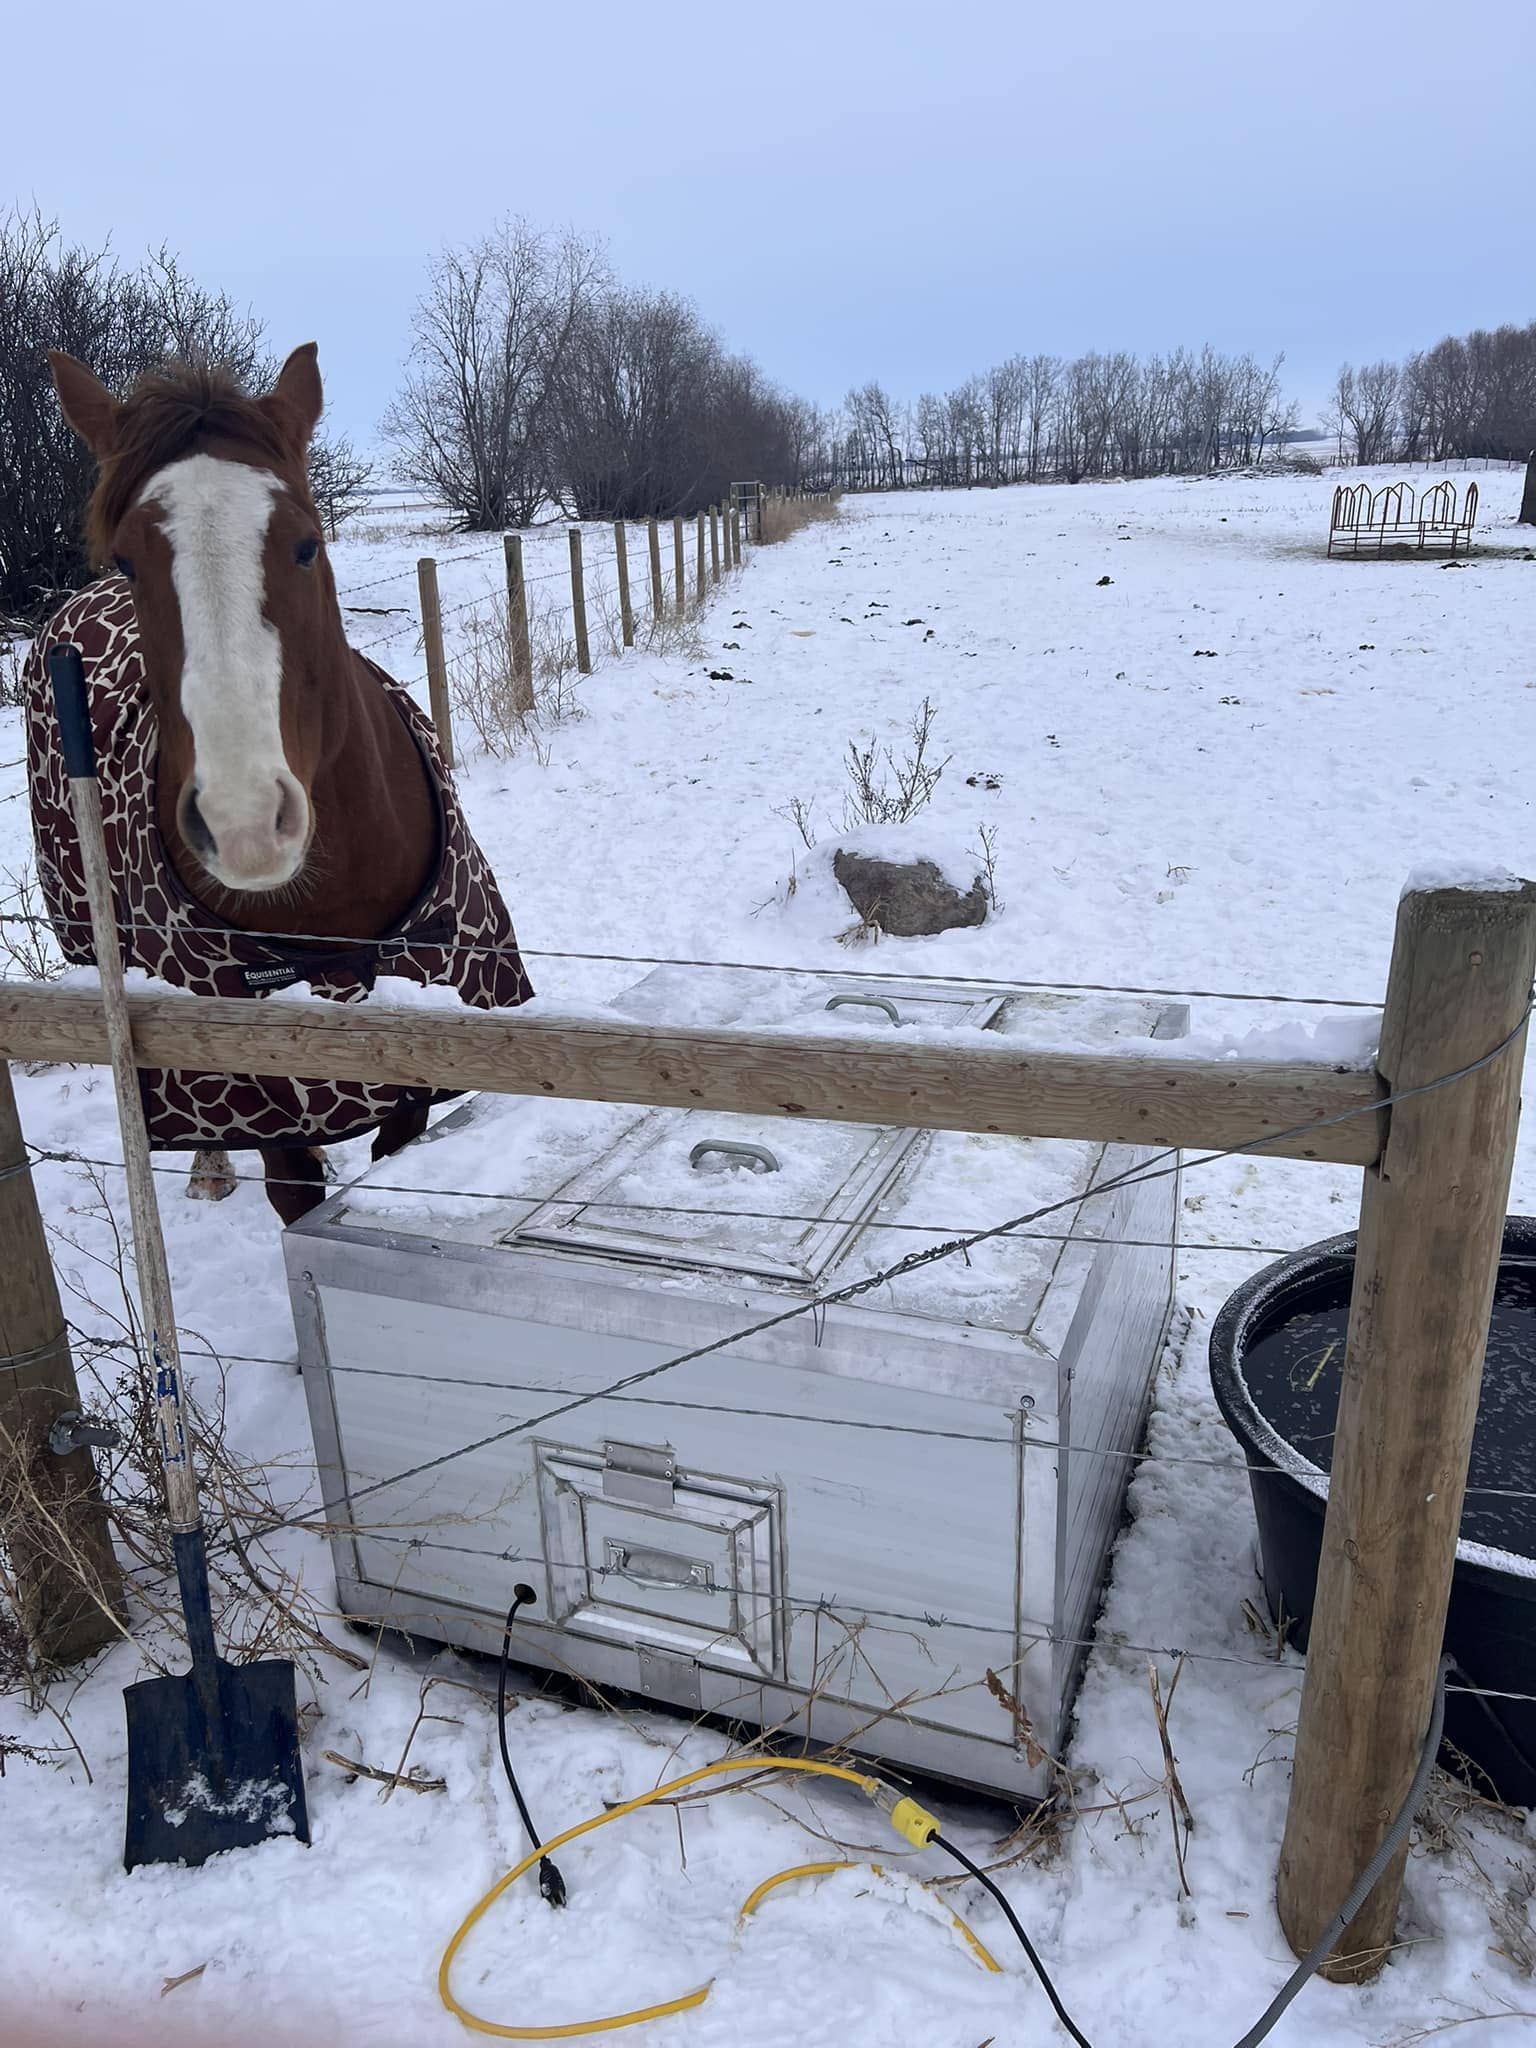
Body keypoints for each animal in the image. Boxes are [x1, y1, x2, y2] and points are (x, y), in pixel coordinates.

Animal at [24, 345, 532, 1223]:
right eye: (128, 558)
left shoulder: (428, 1063)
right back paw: (207, 1167)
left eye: (306, 544)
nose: (246, 823)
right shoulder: (266, 1097)